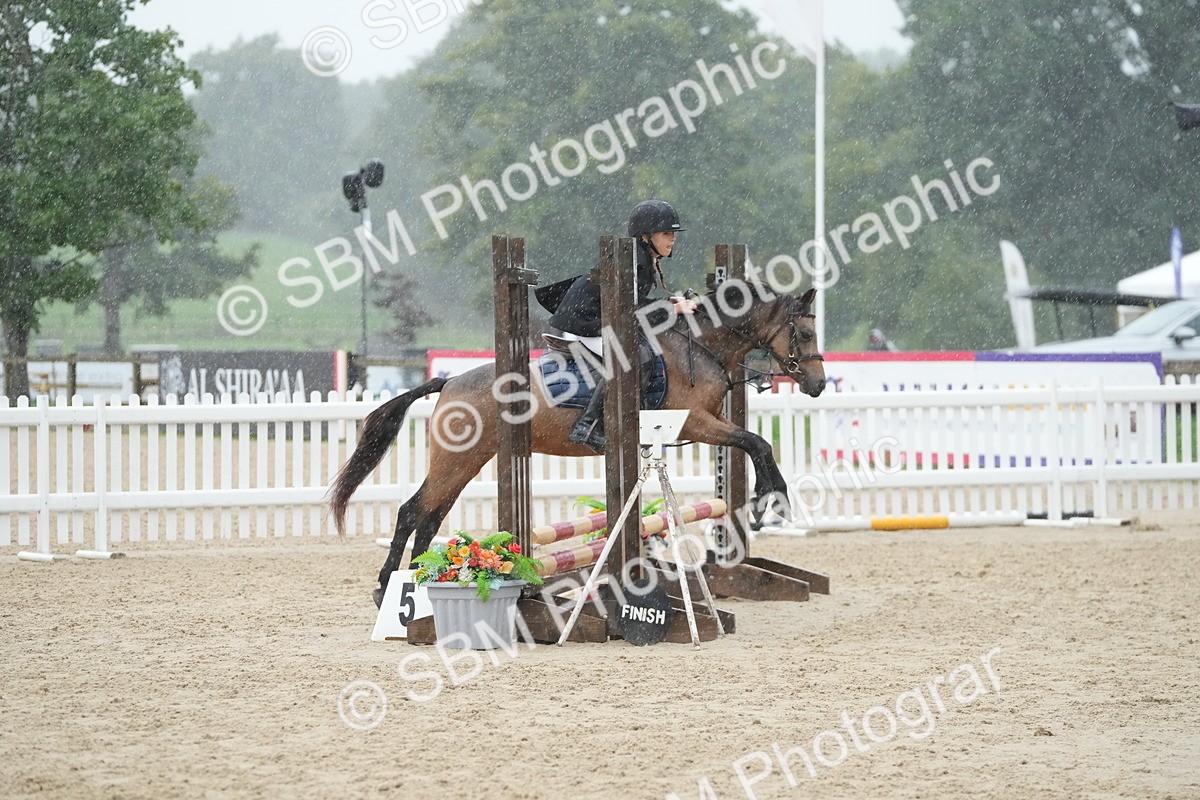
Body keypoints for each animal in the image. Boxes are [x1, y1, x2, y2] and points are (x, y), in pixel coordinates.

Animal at [330, 285, 826, 607]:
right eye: (804, 334)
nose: (818, 385)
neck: (700, 347)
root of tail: (448, 382)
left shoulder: (709, 421)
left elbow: (754, 443)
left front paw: (767, 501)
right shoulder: (696, 421)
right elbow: (756, 442)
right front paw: (771, 499)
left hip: (468, 461)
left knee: (429, 517)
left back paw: (417, 580)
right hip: (457, 459)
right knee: (412, 511)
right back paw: (388, 586)